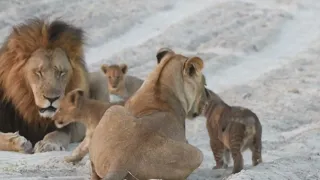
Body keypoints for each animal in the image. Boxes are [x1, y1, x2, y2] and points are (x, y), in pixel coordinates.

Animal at [0, 18, 108, 153]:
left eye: (61, 72)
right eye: (38, 72)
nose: (52, 99)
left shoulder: (67, 126)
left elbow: (55, 134)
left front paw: (47, 144)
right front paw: (18, 141)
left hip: (100, 79)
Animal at [89, 48, 208, 180]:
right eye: (205, 83)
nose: (207, 99)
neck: (159, 86)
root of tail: (120, 162)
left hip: (113, 110)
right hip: (198, 154)